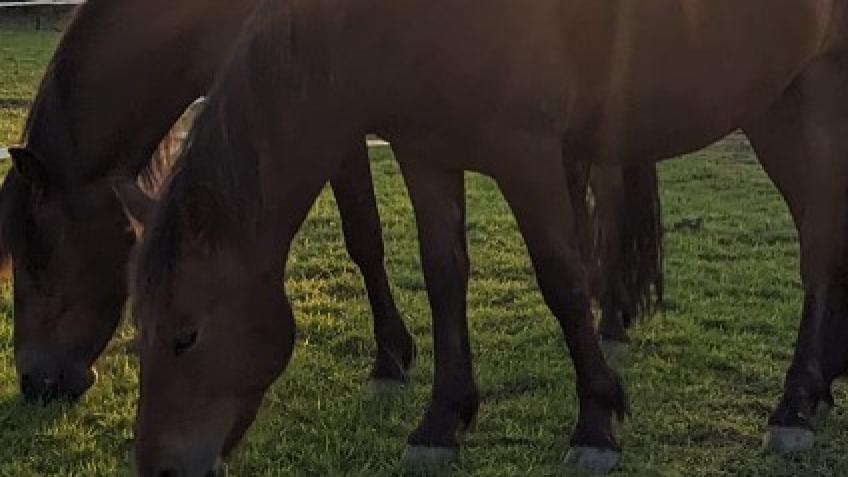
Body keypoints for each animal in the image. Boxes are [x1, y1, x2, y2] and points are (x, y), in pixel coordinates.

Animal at [118, 0, 848, 474]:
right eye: (137, 335)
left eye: (186, 335)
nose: (158, 466)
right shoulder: (425, 155)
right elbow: (443, 274)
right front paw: (442, 420)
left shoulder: (527, 154)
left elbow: (563, 279)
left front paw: (596, 422)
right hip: (774, 102)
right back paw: (821, 383)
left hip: (814, 93)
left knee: (817, 243)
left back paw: (793, 406)